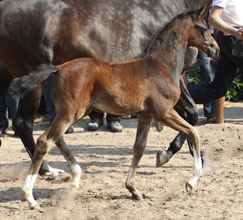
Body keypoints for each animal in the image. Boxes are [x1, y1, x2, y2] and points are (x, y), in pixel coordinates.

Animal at [9, 7, 218, 210]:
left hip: (76, 112)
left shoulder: (146, 115)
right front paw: (191, 181)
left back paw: (75, 177)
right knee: (45, 141)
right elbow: (193, 133)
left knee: (57, 139)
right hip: (70, 113)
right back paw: (30, 196)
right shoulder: (164, 112)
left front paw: (133, 189)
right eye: (204, 28)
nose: (215, 49)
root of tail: (58, 69)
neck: (161, 64)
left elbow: (139, 148)